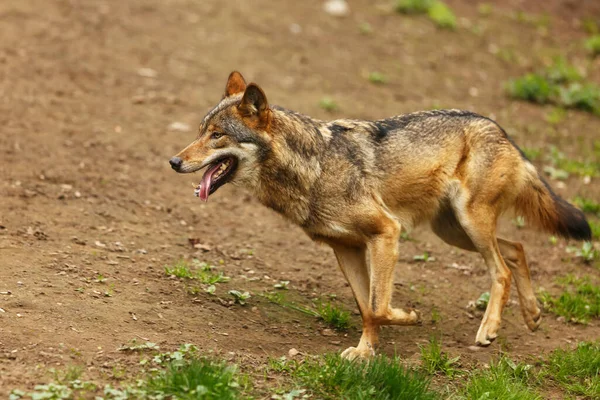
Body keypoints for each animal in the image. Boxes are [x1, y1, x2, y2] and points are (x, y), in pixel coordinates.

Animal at [169, 71, 592, 360]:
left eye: (217, 136)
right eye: (200, 131)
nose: (173, 162)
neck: (314, 168)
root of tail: (502, 131)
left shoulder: (387, 232)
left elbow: (378, 305)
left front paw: (410, 317)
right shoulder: (347, 248)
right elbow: (366, 309)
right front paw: (365, 352)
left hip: (469, 224)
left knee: (501, 268)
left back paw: (489, 328)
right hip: (453, 231)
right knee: (517, 248)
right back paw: (533, 315)